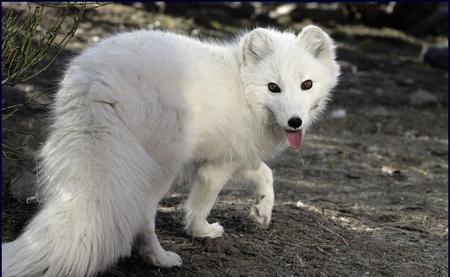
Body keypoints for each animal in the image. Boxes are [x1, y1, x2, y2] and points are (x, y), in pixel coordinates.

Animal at [2, 24, 342, 274]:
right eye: (273, 87)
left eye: (307, 84)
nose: (295, 122)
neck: (242, 88)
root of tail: (98, 80)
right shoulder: (215, 167)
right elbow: (202, 203)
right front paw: (201, 231)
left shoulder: (234, 154)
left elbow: (265, 174)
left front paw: (261, 211)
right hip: (161, 167)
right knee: (143, 217)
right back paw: (160, 258)